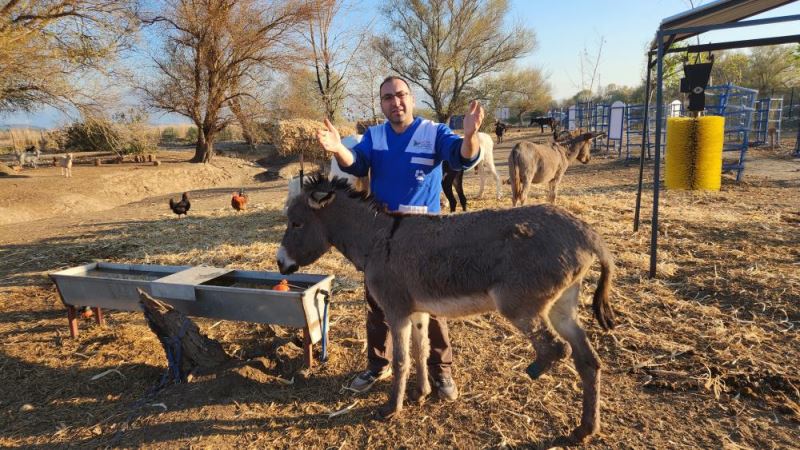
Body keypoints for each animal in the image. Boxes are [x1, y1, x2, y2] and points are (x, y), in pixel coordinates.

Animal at [278, 177, 616, 442]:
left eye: (296, 223)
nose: (280, 264)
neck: (379, 239)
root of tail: (587, 233)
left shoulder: (396, 310)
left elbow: (401, 360)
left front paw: (391, 408)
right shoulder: (417, 311)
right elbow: (421, 350)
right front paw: (420, 393)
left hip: (518, 304)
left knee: (557, 348)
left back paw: (536, 369)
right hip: (562, 306)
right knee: (588, 360)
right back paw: (585, 429)